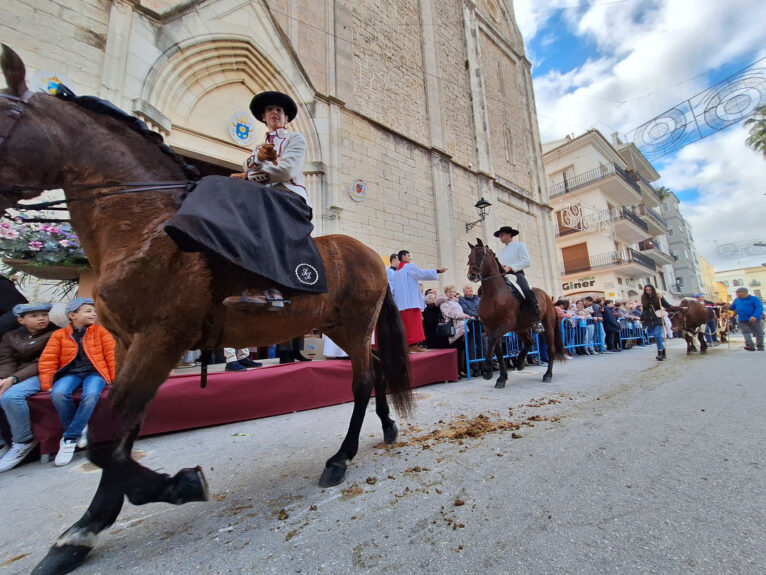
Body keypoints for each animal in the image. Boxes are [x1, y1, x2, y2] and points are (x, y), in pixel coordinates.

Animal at [0, 46, 414, 575]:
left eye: (2, 114)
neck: (146, 228)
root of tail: (369, 253)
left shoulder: (160, 338)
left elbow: (107, 435)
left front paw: (178, 486)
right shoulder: (130, 343)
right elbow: (119, 429)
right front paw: (86, 528)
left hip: (355, 325)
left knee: (362, 381)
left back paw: (339, 459)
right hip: (341, 328)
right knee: (377, 368)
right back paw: (387, 428)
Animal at [464, 238, 568, 388]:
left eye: (479, 255)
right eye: (469, 256)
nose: (471, 275)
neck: (493, 294)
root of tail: (548, 297)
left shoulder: (503, 325)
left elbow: (491, 342)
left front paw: (488, 371)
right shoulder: (490, 327)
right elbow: (498, 351)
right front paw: (501, 377)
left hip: (548, 327)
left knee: (550, 349)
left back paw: (547, 375)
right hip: (521, 328)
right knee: (530, 342)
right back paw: (519, 362)